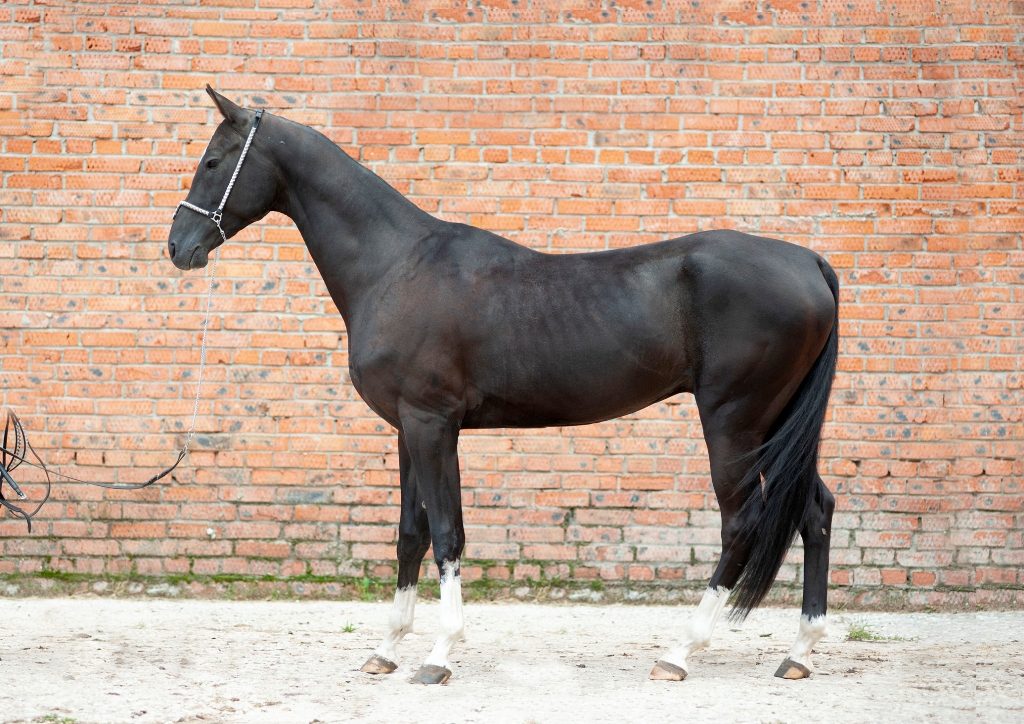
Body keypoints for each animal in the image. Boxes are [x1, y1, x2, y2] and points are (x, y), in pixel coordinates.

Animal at [168, 87, 839, 685]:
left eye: (213, 161)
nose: (178, 247)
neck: (395, 265)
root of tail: (808, 262)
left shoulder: (433, 424)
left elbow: (447, 533)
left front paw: (439, 655)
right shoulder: (408, 430)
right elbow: (411, 534)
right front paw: (386, 650)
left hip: (734, 421)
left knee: (741, 523)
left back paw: (679, 654)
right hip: (776, 426)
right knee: (815, 511)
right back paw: (800, 653)